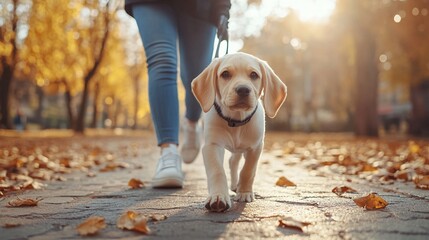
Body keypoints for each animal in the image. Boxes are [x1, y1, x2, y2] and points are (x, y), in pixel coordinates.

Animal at [191, 52, 288, 212]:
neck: (236, 121)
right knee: (230, 161)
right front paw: (218, 196)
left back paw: (237, 186)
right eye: (225, 74)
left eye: (254, 75)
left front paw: (244, 192)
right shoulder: (212, 146)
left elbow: (248, 170)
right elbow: (217, 171)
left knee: (234, 161)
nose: (243, 89)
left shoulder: (256, 147)